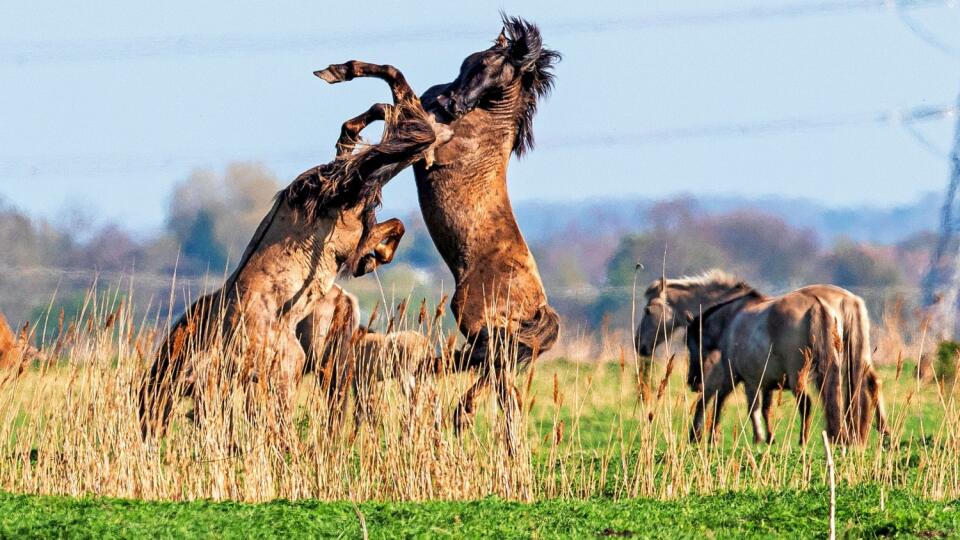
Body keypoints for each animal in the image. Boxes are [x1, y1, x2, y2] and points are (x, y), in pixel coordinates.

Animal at [139, 62, 450, 438]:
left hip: (353, 192)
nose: (150, 433)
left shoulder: (289, 366)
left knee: (402, 123)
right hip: (354, 203)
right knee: (377, 129)